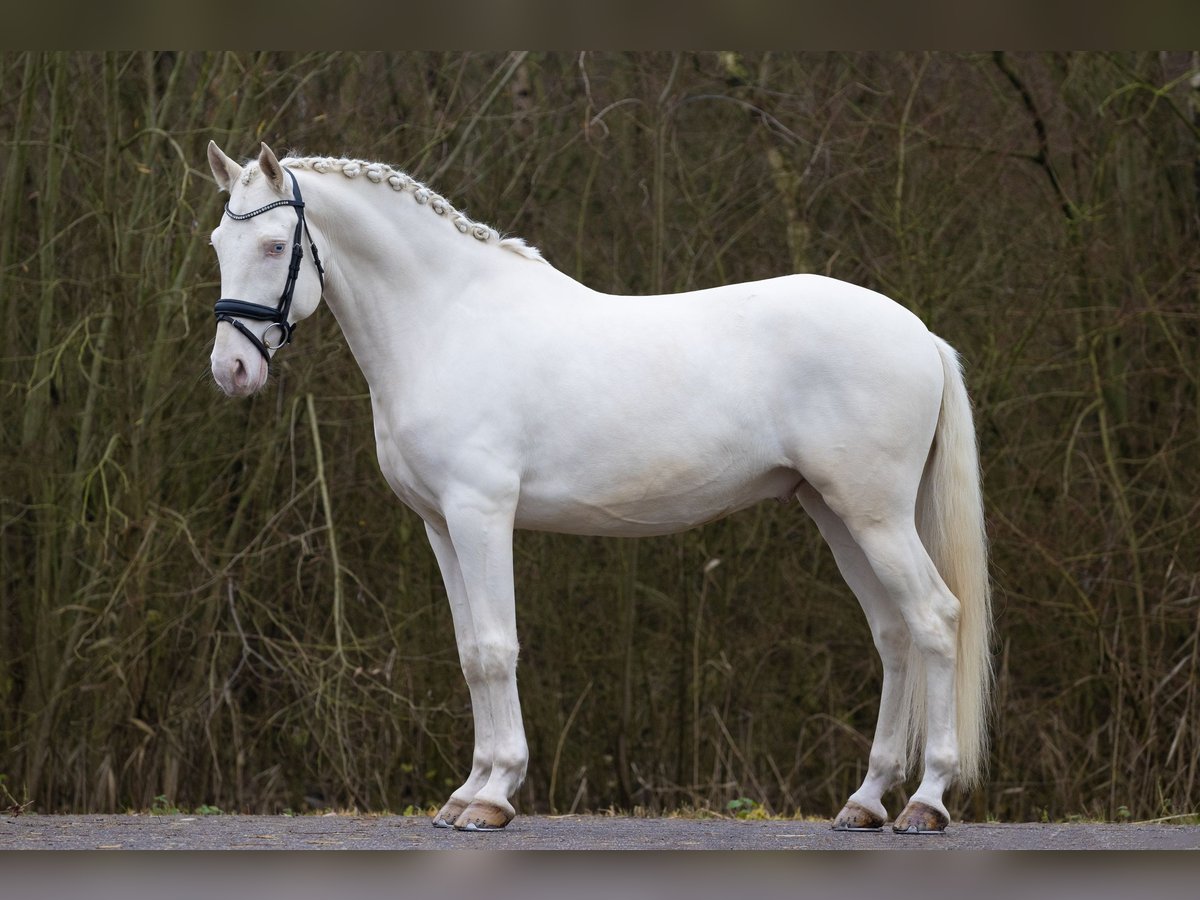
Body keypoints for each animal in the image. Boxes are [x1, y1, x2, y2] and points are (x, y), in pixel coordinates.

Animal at [208, 141, 993, 840]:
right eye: (219, 241)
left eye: (275, 246)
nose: (231, 371)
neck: (448, 323)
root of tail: (918, 333)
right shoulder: (439, 525)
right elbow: (469, 652)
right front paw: (466, 791)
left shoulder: (480, 513)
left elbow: (495, 647)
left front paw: (492, 798)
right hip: (835, 511)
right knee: (892, 633)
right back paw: (865, 801)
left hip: (875, 513)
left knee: (934, 618)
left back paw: (926, 801)